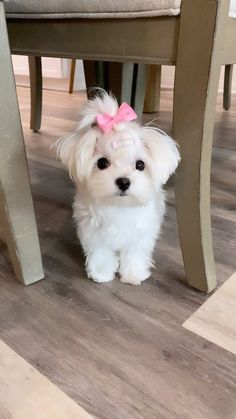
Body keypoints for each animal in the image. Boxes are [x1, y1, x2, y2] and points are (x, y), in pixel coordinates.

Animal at [58, 92, 180, 286]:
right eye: (102, 163)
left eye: (140, 165)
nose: (123, 182)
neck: (119, 206)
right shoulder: (94, 232)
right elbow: (100, 252)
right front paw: (101, 272)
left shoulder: (140, 233)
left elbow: (134, 253)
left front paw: (133, 274)